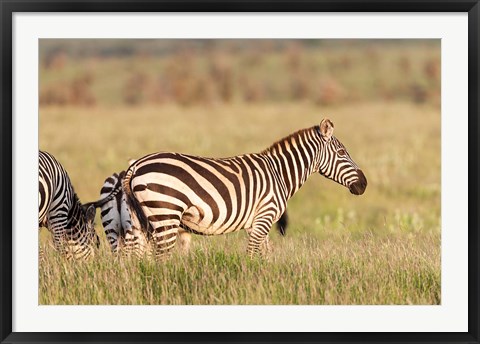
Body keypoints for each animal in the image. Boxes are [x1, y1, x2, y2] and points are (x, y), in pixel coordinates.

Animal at [122, 119, 366, 258]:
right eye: (342, 153)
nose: (364, 184)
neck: (279, 173)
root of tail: (135, 166)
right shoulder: (264, 217)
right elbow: (251, 256)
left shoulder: (257, 223)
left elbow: (265, 256)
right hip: (166, 214)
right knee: (160, 259)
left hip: (140, 222)